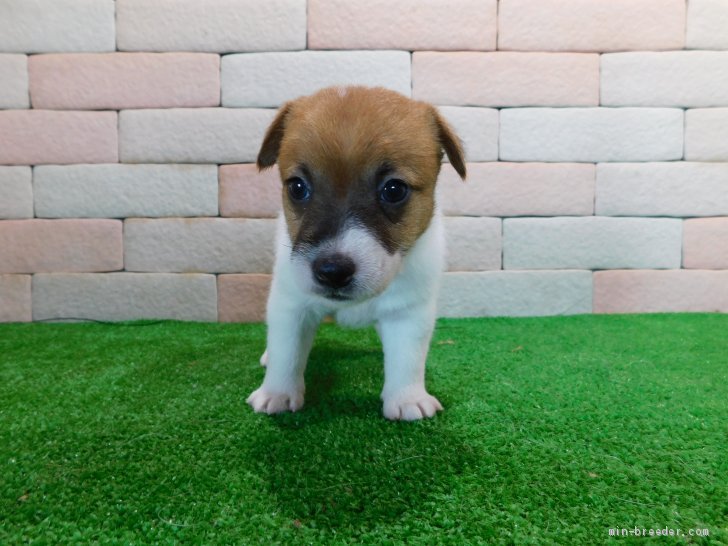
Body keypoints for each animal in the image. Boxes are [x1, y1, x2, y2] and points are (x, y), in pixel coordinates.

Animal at [247, 85, 466, 418]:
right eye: (297, 187)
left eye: (394, 190)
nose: (332, 271)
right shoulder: (291, 306)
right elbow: (288, 353)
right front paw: (277, 393)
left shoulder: (408, 312)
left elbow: (407, 359)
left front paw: (407, 399)